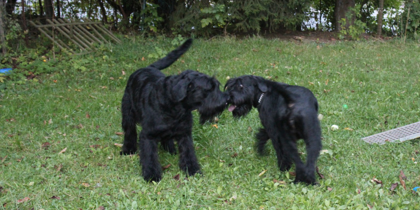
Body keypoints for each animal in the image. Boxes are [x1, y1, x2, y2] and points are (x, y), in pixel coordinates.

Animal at [120, 39, 228, 182]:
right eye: (208, 89)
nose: (226, 100)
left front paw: (192, 170)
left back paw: (170, 149)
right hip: (128, 115)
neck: (174, 106)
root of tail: (147, 67)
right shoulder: (148, 135)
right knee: (129, 132)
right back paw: (128, 150)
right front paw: (152, 175)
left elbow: (188, 154)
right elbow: (149, 157)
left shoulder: (184, 134)